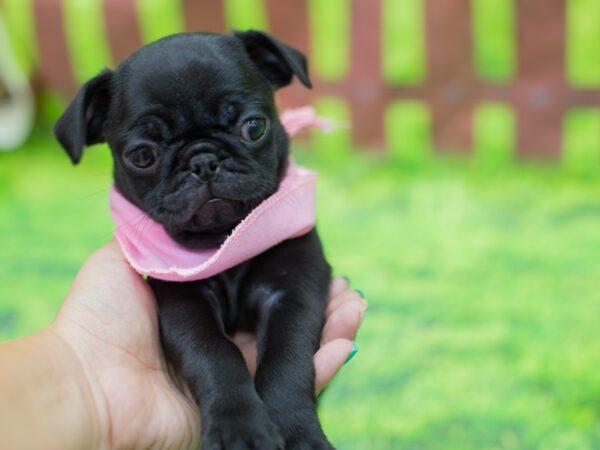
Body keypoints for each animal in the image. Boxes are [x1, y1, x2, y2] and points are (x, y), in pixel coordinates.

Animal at [51, 29, 332, 448]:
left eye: (253, 127)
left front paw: (298, 432)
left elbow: (287, 360)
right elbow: (215, 354)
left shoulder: (292, 294)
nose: (202, 160)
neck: (223, 240)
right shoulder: (186, 307)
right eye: (142, 156)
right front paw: (238, 427)